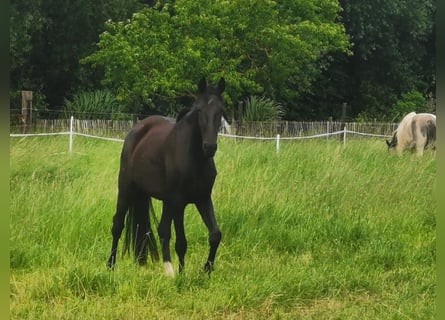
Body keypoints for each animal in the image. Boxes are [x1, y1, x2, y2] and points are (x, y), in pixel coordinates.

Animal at [108, 77, 225, 276]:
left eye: (221, 111)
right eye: (199, 110)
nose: (209, 147)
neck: (194, 158)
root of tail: (137, 130)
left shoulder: (202, 198)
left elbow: (215, 235)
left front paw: (207, 270)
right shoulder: (179, 201)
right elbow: (182, 242)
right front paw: (182, 275)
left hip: (163, 200)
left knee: (162, 230)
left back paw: (167, 269)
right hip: (126, 189)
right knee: (117, 225)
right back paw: (111, 265)